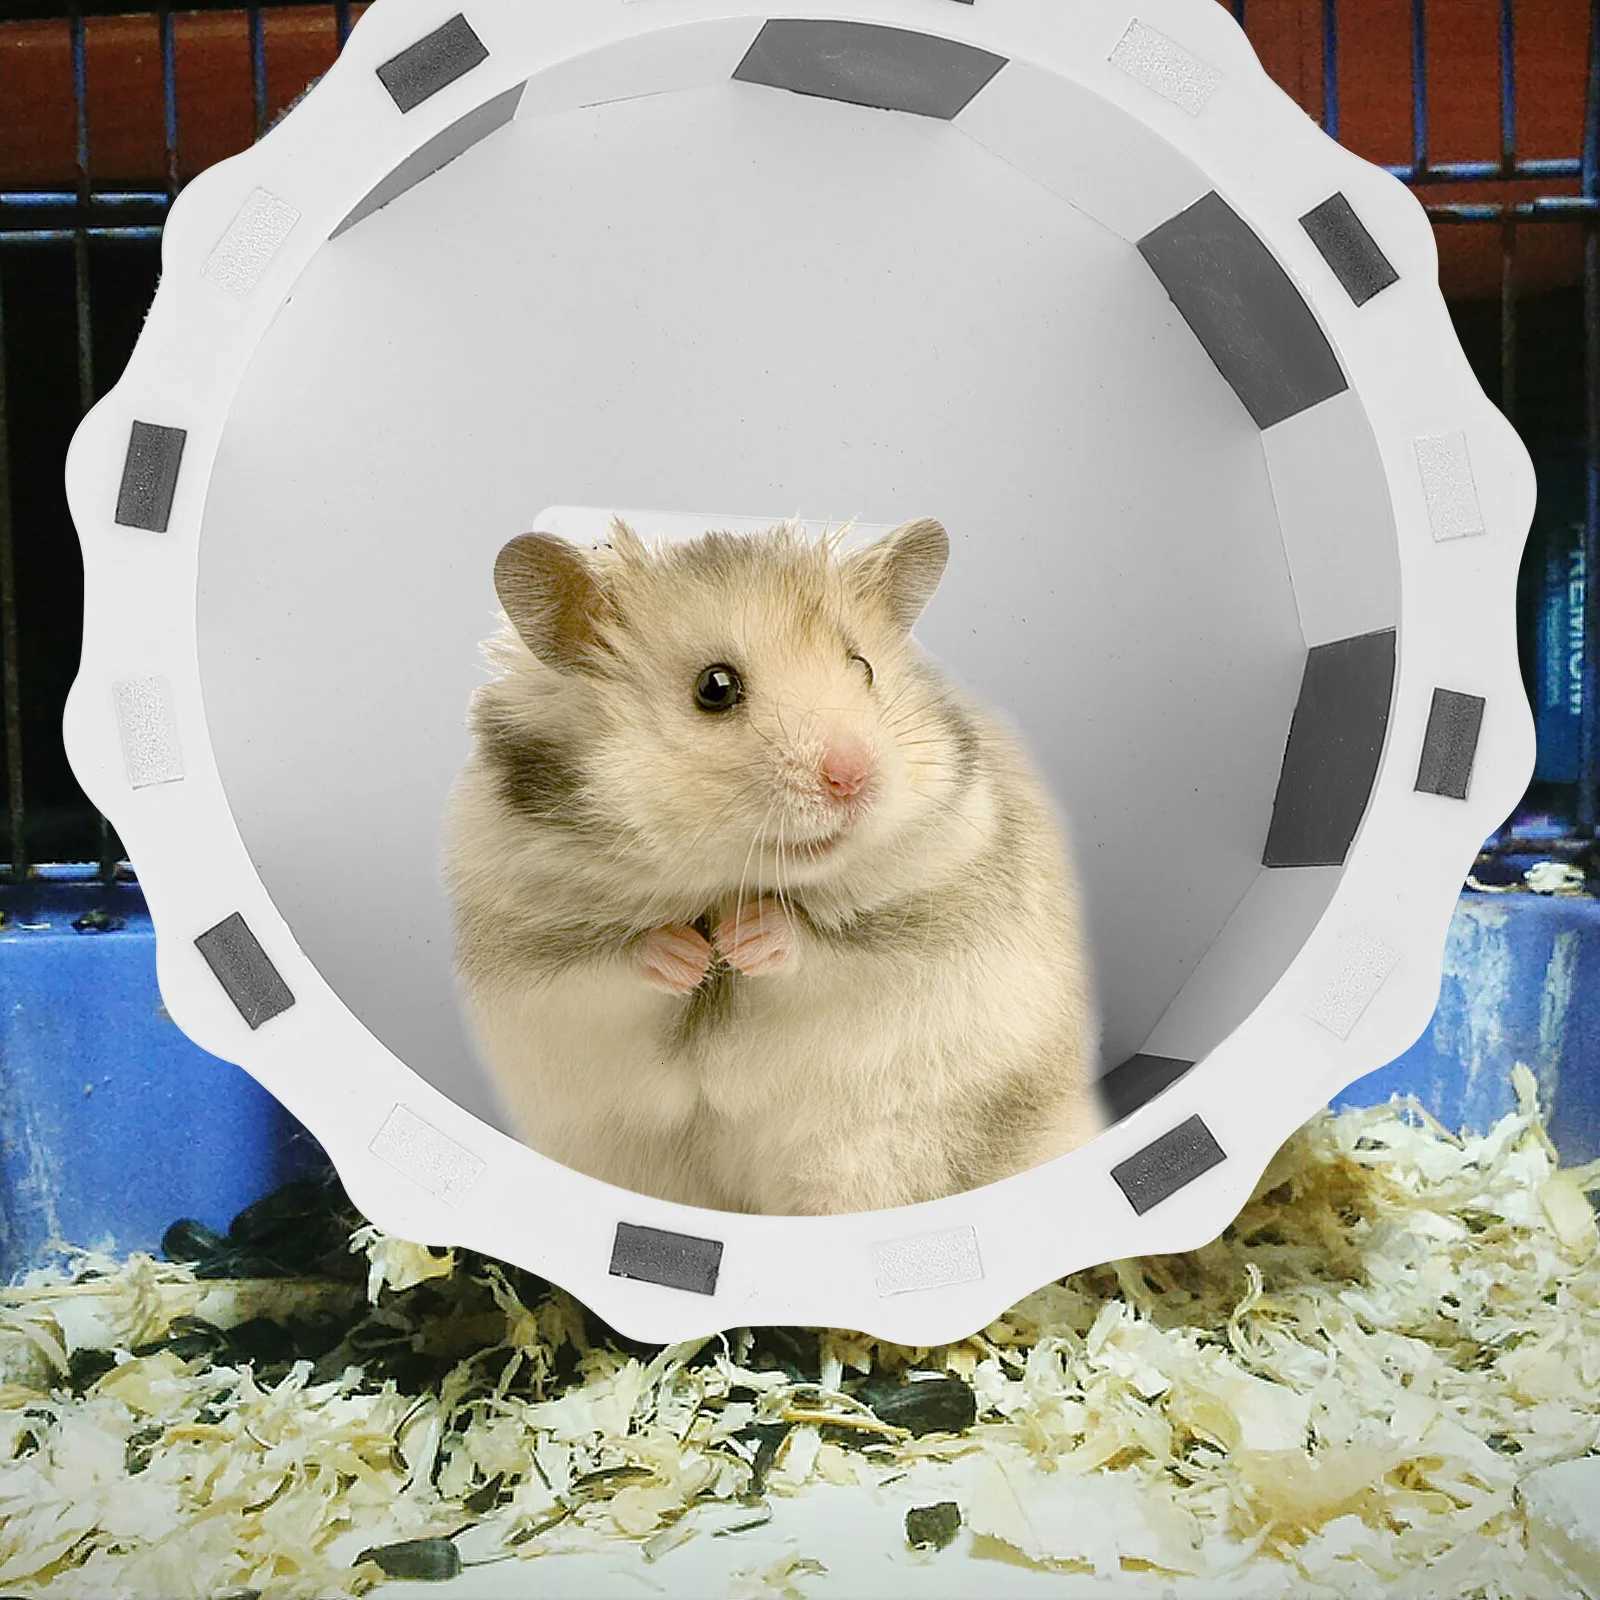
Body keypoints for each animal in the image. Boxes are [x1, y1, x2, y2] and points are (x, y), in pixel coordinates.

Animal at [441, 516, 1103, 1215]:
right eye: (715, 687)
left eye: (863, 667)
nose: (854, 777)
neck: (727, 882)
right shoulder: (531, 962)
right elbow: (612, 966)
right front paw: (688, 956)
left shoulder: (927, 933)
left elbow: (822, 951)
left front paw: (742, 939)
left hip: (865, 1160)